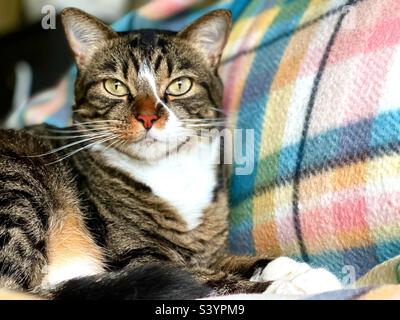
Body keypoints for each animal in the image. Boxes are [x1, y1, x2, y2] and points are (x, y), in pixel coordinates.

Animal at [0, 8, 340, 300]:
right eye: (114, 86)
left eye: (179, 85)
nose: (148, 117)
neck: (170, 171)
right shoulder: (138, 258)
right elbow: (204, 279)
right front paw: (294, 284)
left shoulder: (208, 252)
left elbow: (231, 261)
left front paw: (289, 267)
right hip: (21, 186)